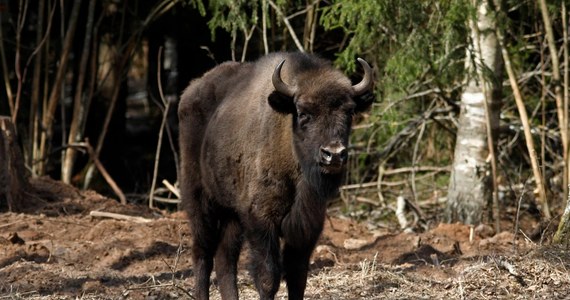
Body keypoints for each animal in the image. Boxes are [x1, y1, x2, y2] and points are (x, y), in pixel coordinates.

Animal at [178, 52, 372, 298]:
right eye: (303, 113)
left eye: (349, 112)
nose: (334, 154)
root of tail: (190, 92)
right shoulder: (261, 220)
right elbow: (268, 276)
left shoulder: (306, 226)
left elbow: (297, 276)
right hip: (200, 203)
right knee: (202, 254)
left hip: (232, 214)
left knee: (225, 259)